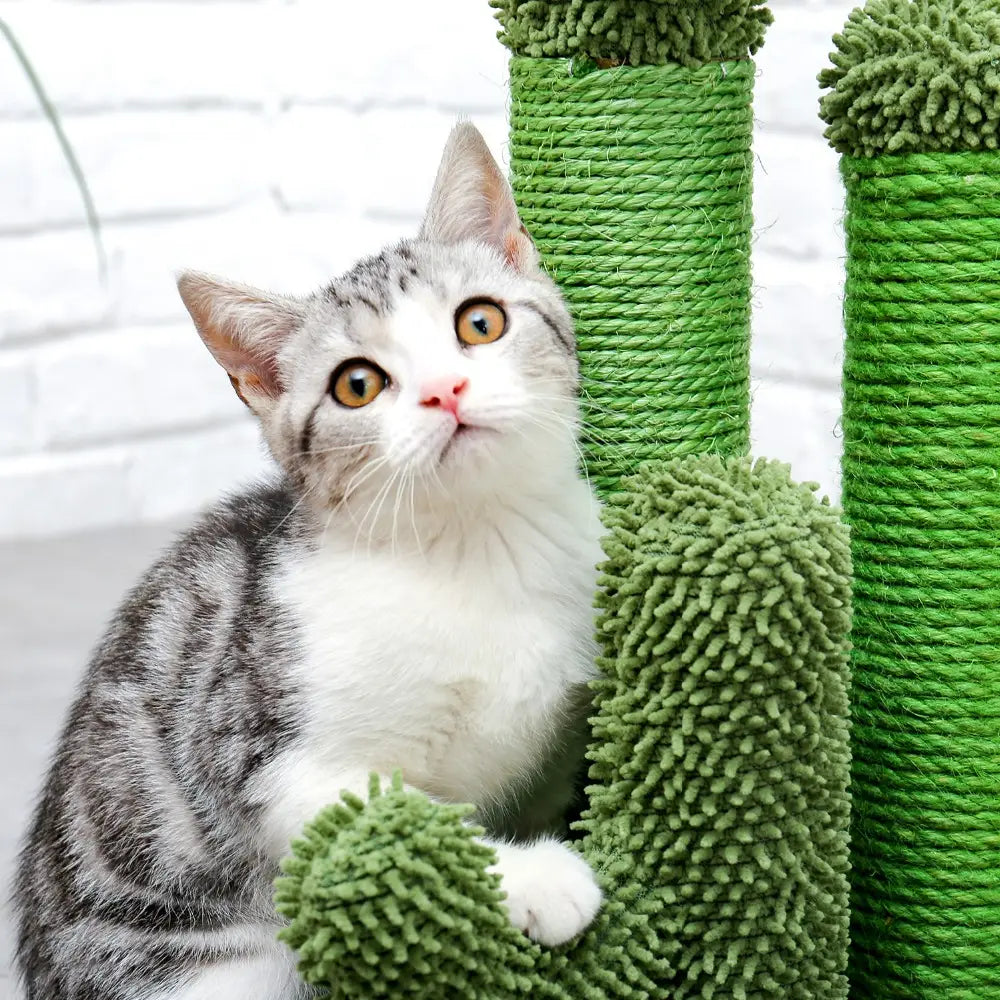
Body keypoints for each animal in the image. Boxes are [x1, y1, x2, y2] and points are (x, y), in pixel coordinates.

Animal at [13, 121, 600, 996]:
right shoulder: (262, 756)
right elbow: (403, 823)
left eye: (480, 324)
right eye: (357, 385)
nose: (446, 391)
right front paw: (538, 878)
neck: (474, 546)